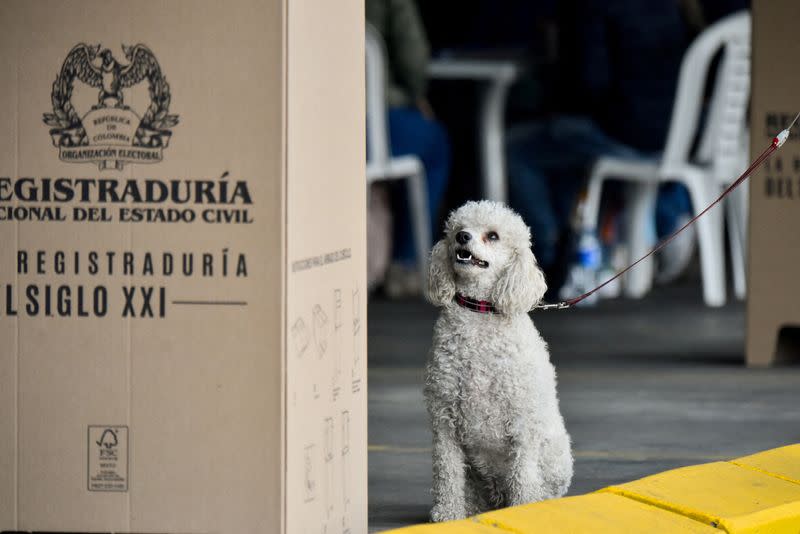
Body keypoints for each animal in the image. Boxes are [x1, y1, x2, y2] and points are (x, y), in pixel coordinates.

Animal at [422, 201, 572, 524]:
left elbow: (523, 473)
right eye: (457, 228)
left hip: (554, 456)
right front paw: (448, 513)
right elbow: (447, 472)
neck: (479, 310)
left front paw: (524, 509)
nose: (462, 237)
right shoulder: (444, 419)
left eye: (493, 236)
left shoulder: (522, 421)